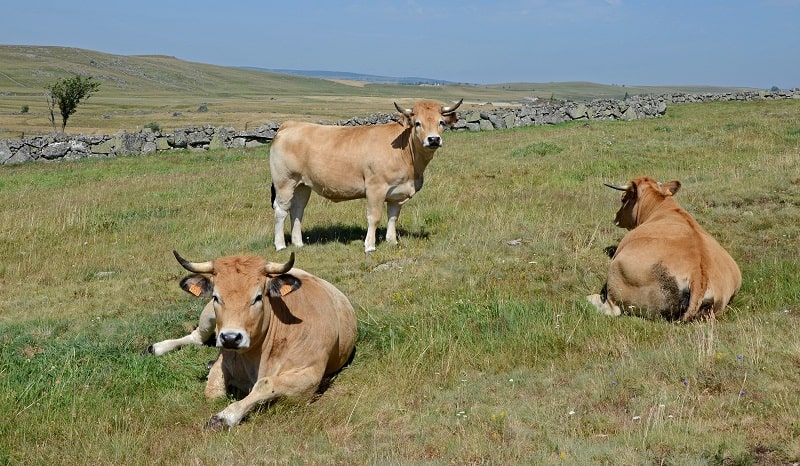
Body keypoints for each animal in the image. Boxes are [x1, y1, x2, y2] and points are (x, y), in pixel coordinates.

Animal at [146, 251, 356, 430]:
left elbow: (266, 384)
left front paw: (225, 416)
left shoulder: (309, 376)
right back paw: (157, 347)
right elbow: (213, 391)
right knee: (197, 337)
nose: (230, 338)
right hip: (207, 317)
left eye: (258, 297)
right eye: (216, 297)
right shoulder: (224, 360)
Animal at [584, 177, 740, 322]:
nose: (615, 217)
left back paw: (589, 298)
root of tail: (698, 276)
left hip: (617, 272)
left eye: (623, 199)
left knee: (612, 308)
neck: (661, 206)